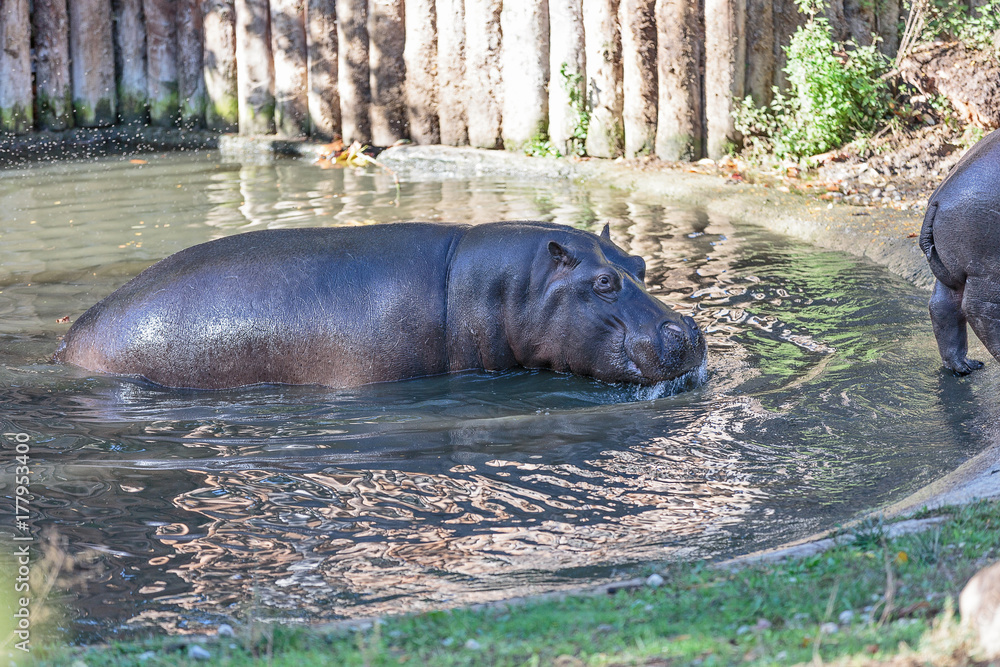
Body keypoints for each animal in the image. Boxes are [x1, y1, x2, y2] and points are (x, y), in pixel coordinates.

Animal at [920, 128, 1000, 374]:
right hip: (986, 269)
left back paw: (964, 367)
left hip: (952, 270)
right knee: (981, 311)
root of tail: (938, 199)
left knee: (942, 307)